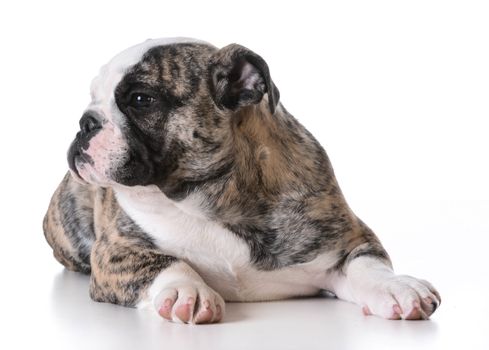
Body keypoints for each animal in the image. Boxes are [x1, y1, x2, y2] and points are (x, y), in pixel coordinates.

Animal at [43, 37, 438, 324]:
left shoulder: (348, 238)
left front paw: (397, 287)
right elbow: (164, 262)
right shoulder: (116, 252)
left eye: (141, 99)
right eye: (93, 96)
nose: (85, 121)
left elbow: (367, 264)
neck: (208, 199)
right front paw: (188, 291)